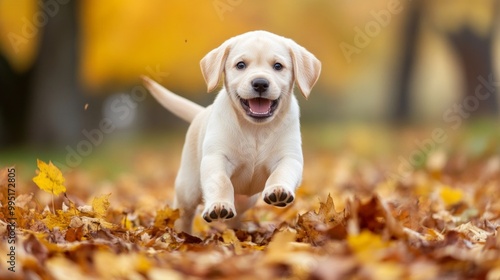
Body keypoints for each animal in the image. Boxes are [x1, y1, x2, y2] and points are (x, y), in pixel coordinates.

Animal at [142, 30, 320, 234]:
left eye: (278, 66)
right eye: (240, 65)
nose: (260, 83)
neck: (255, 129)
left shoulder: (290, 157)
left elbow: (282, 172)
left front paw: (278, 190)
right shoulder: (216, 157)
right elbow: (221, 182)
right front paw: (218, 205)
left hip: (247, 200)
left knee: (236, 216)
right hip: (188, 189)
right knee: (183, 213)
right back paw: (183, 234)